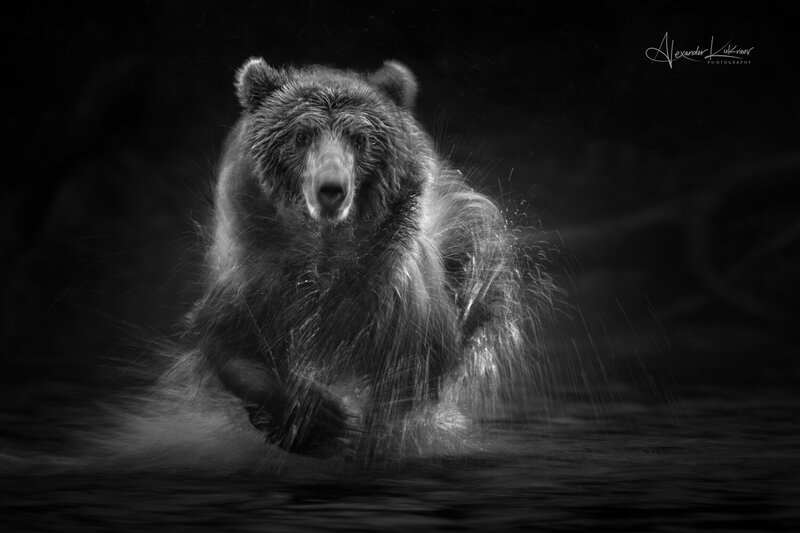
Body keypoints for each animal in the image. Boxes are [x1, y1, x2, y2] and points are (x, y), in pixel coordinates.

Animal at [171, 58, 532, 460]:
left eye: (360, 139)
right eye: (301, 135)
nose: (331, 189)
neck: (326, 253)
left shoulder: (393, 298)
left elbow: (408, 373)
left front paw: (367, 433)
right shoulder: (259, 280)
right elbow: (230, 345)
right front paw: (318, 416)